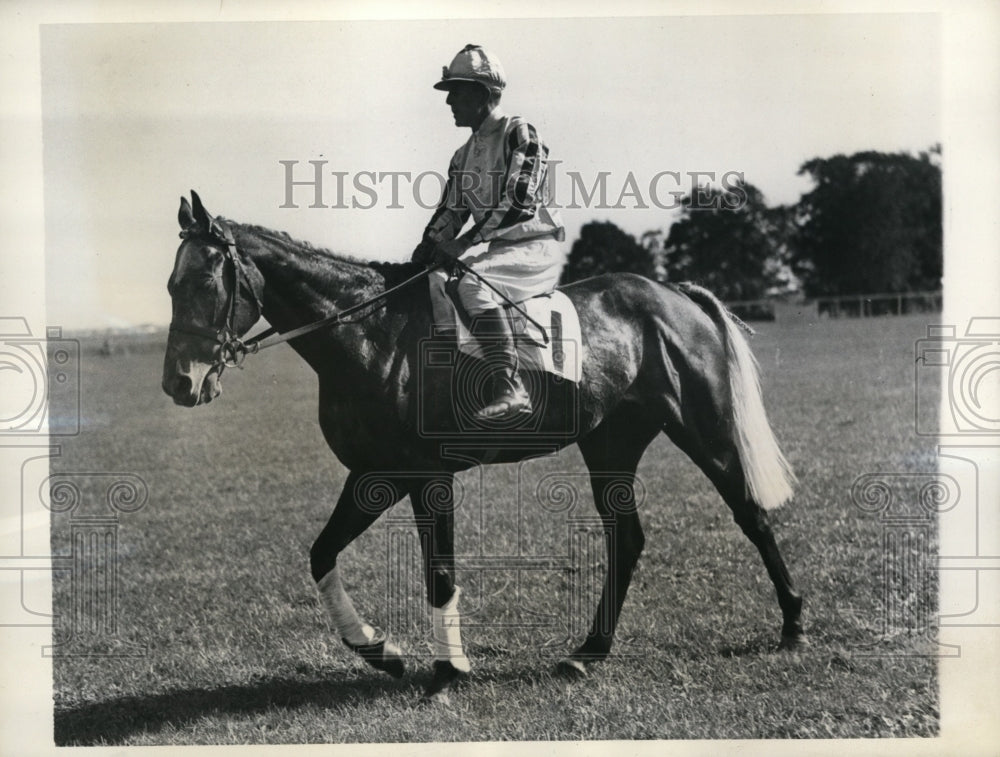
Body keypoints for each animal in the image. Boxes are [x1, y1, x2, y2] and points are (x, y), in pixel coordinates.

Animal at [162, 192, 804, 700]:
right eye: (170, 285)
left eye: (204, 281)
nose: (179, 383)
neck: (371, 335)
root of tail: (675, 294)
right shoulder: (375, 475)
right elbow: (322, 553)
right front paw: (380, 651)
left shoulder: (428, 477)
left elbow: (440, 572)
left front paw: (449, 671)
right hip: (610, 445)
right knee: (627, 538)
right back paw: (586, 653)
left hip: (704, 430)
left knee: (750, 514)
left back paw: (793, 625)